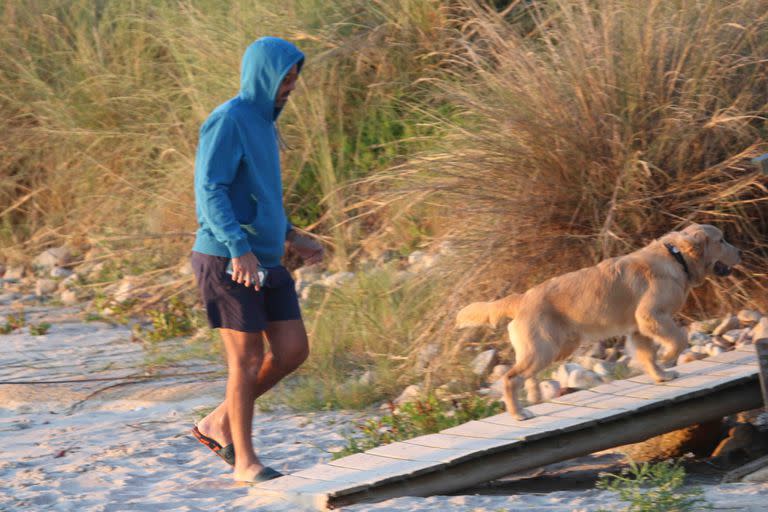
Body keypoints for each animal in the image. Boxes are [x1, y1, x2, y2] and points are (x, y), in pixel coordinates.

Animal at [456, 225, 736, 420]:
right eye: (721, 240)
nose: (740, 252)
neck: (676, 257)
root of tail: (521, 298)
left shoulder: (639, 328)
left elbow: (647, 355)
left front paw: (662, 375)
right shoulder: (651, 315)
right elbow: (679, 337)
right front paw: (668, 357)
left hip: (551, 349)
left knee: (525, 376)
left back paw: (532, 399)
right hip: (544, 348)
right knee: (510, 378)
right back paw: (519, 413)